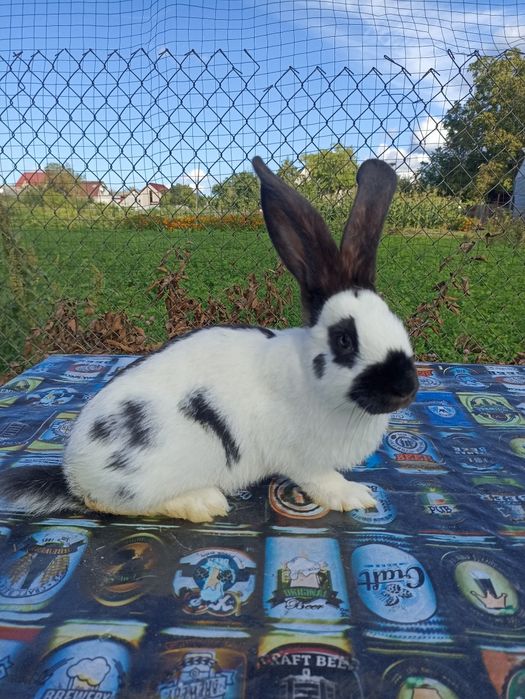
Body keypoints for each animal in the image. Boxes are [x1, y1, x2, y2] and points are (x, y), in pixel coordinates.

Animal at [1, 156, 418, 522]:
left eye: (395, 322)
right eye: (344, 340)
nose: (407, 388)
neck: (309, 380)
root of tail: (73, 477)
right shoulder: (302, 459)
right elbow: (322, 481)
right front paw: (355, 496)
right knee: (115, 505)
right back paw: (203, 502)